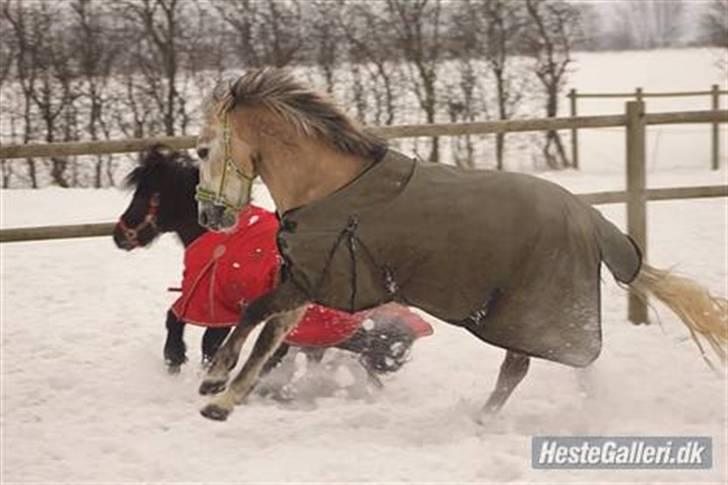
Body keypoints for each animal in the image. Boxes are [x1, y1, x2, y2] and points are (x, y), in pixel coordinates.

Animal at [193, 67, 728, 420]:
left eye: (201, 150)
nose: (209, 216)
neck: (330, 189)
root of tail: (592, 219)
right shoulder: (308, 284)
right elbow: (270, 336)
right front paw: (223, 393)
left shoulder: (311, 282)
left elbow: (254, 315)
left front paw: (215, 385)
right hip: (537, 315)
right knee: (560, 365)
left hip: (533, 312)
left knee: (525, 367)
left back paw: (488, 419)